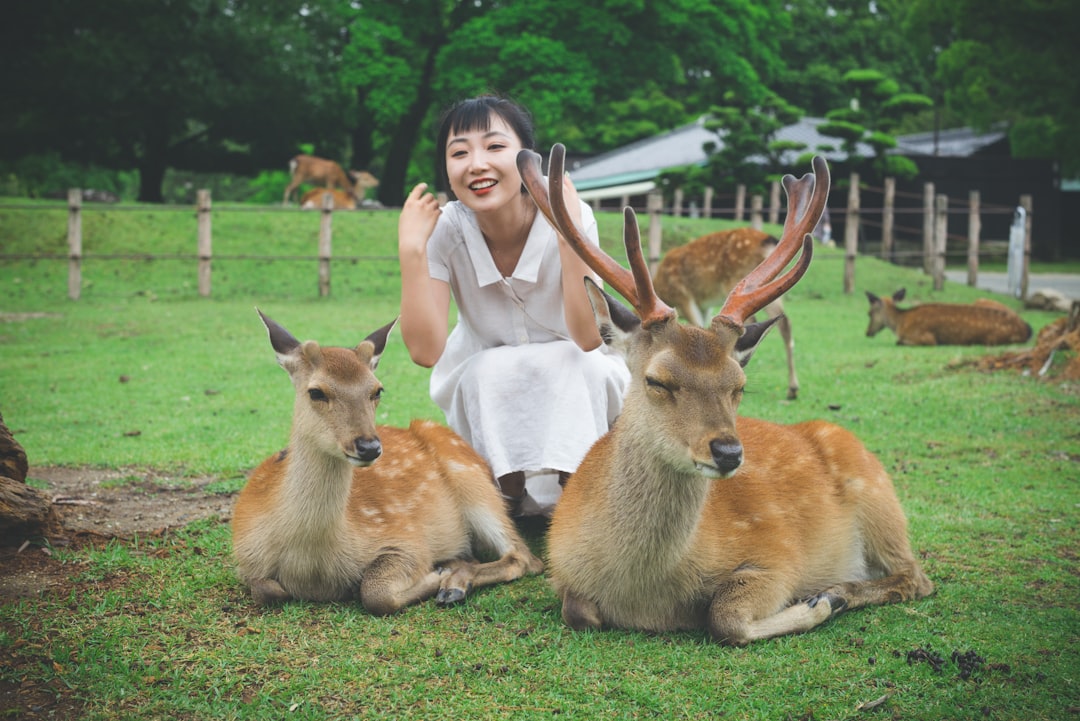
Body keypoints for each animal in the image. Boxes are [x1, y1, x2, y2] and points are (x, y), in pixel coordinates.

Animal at [233, 310, 544, 613]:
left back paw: (454, 582)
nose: (369, 446)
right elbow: (267, 589)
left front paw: (437, 573)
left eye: (377, 390)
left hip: (474, 482)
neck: (312, 563)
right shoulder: (246, 556)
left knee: (525, 557)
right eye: (316, 392)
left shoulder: (406, 538)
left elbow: (375, 592)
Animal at [648, 229, 803, 399]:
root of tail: (769, 240)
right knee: (785, 323)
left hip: (737, 281)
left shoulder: (685, 298)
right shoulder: (703, 306)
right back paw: (792, 389)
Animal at [864, 284, 1032, 345]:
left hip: (992, 339)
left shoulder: (926, 337)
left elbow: (899, 342)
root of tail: (1027, 329)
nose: (867, 332)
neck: (901, 322)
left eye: (869, 312)